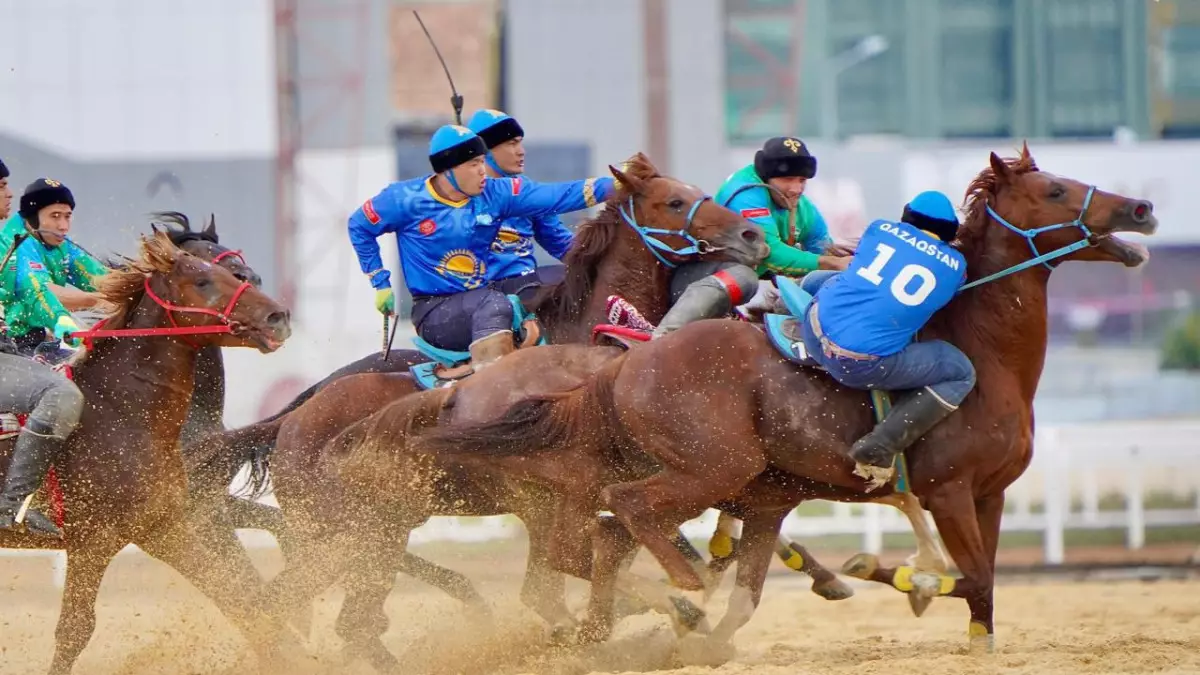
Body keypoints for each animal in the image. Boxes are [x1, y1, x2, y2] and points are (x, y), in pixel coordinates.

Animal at [0, 233, 292, 672]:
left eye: (240, 274)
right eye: (204, 280)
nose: (279, 316)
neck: (118, 411)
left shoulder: (165, 527)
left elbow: (240, 598)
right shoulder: (93, 541)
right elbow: (73, 631)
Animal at [415, 145, 1161, 648]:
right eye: (1057, 190)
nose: (1143, 207)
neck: (978, 346)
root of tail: (627, 365)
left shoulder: (988, 494)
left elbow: (985, 592)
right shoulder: (948, 491)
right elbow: (972, 578)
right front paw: (899, 575)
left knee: (598, 548)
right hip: (698, 469)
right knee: (619, 521)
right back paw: (680, 593)